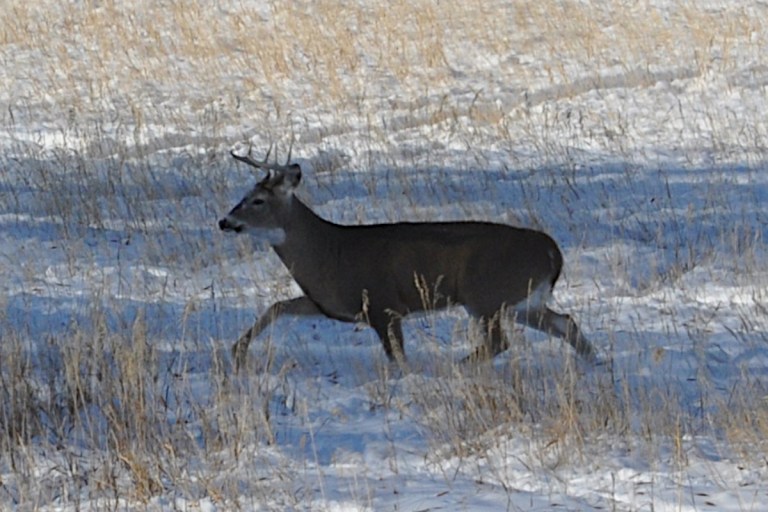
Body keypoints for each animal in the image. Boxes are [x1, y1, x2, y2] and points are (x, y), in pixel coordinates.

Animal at [218, 146, 597, 372]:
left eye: (257, 201)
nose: (224, 221)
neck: (329, 252)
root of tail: (551, 250)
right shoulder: (332, 304)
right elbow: (278, 306)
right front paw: (237, 350)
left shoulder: (383, 306)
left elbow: (398, 360)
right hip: (521, 301)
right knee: (565, 323)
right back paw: (596, 363)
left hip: (485, 294)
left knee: (499, 341)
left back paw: (455, 368)